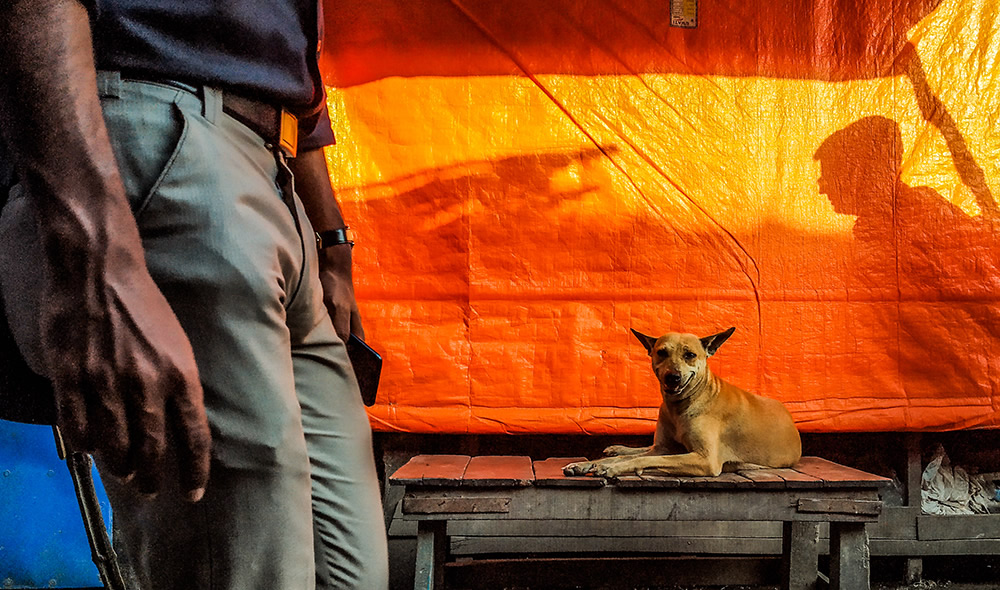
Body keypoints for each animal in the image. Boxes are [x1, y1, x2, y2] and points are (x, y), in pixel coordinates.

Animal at [564, 328, 804, 480]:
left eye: (690, 355)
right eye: (662, 352)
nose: (673, 377)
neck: (680, 406)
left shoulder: (705, 460)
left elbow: (644, 460)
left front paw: (609, 467)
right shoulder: (664, 447)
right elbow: (636, 455)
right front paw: (586, 463)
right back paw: (615, 449)